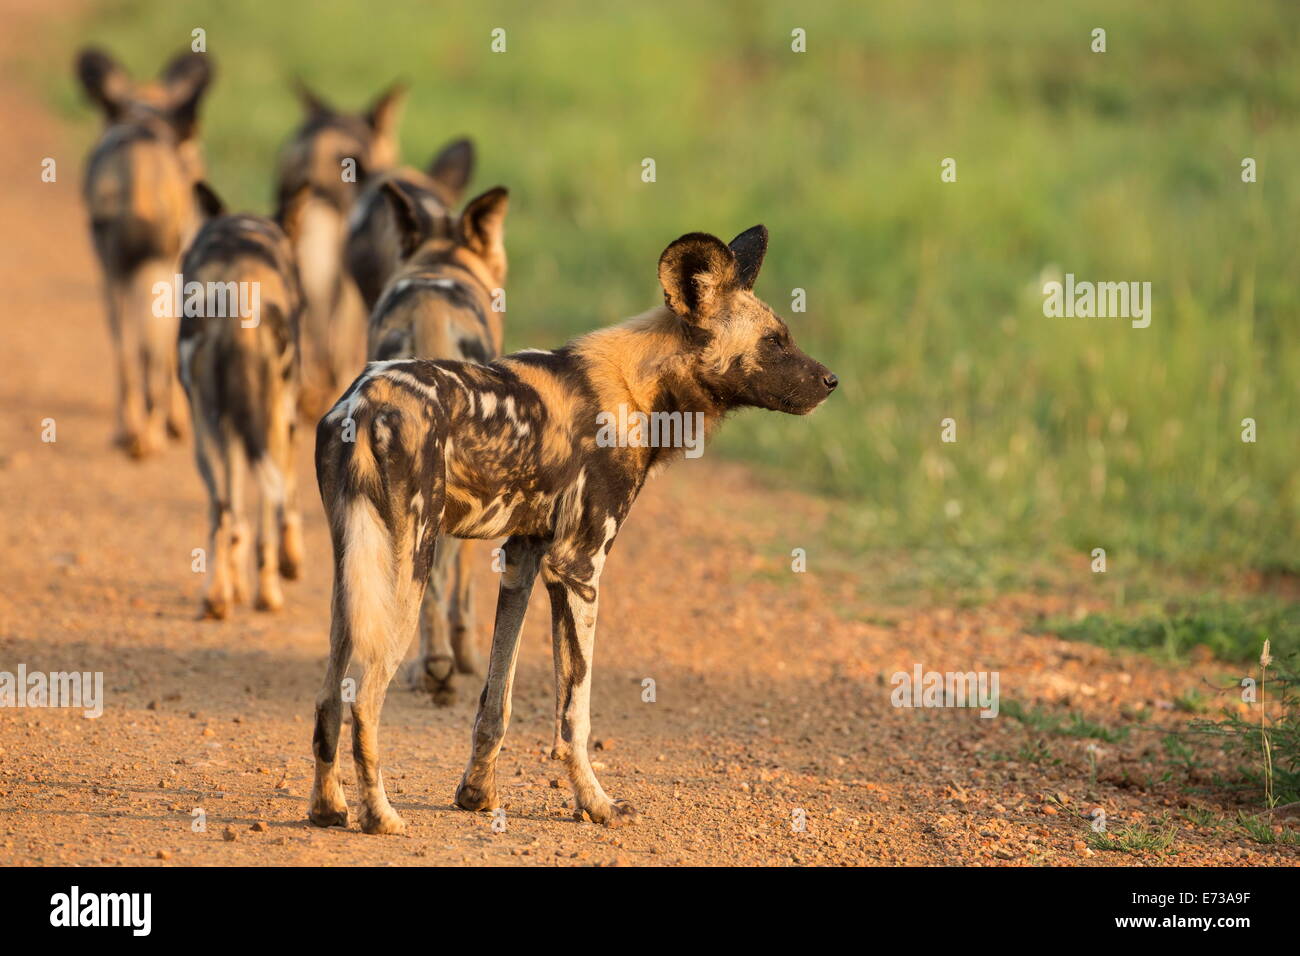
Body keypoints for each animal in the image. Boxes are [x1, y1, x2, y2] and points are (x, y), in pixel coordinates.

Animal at [75, 48, 214, 460]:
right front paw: (176, 422)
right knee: (150, 355)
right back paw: (149, 435)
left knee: (127, 355)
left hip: (116, 278)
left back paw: (133, 432)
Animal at [178, 184, 309, 621]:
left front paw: (233, 584)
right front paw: (291, 559)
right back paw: (268, 592)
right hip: (268, 425)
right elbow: (288, 500)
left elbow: (234, 517)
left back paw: (218, 594)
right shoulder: (287, 418)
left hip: (206, 432)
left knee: (223, 513)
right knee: (265, 508)